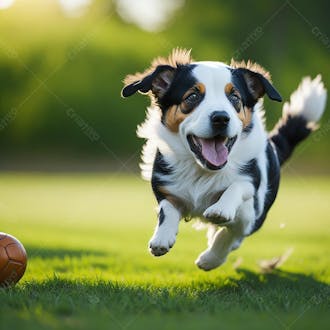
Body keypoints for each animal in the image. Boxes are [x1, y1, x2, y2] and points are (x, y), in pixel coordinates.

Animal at [122, 49, 328, 270]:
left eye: (234, 97)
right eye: (193, 96)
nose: (221, 117)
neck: (203, 171)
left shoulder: (250, 209)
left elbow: (231, 217)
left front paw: (210, 256)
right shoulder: (165, 188)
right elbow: (166, 210)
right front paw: (161, 238)